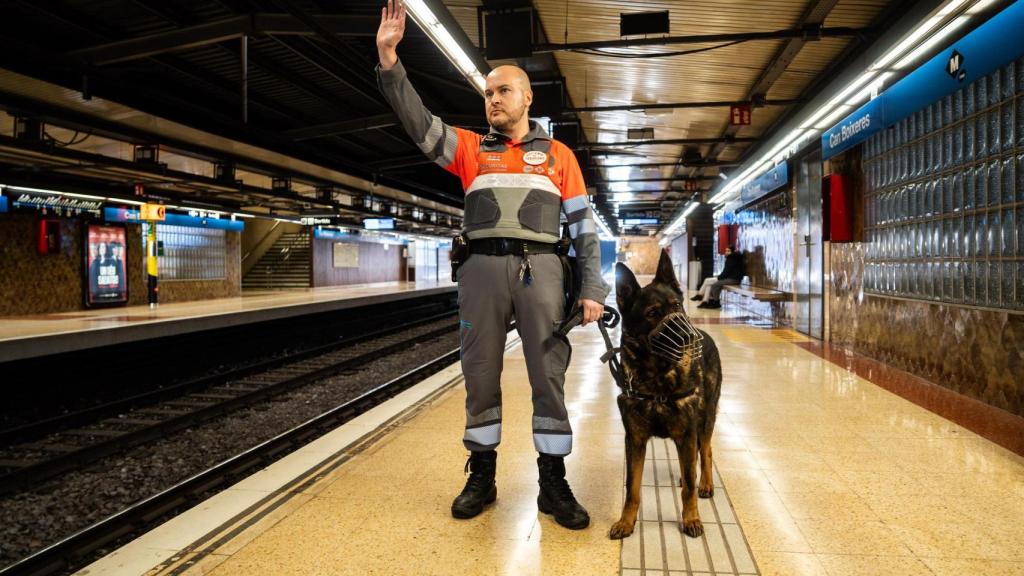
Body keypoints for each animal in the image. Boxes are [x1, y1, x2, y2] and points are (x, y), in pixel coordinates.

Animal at [606, 251, 720, 537]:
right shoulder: (635, 440)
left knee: (706, 450)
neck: (657, 376)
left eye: (677, 305)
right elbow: (632, 488)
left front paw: (691, 518)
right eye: (652, 313)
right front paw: (626, 521)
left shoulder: (687, 432)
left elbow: (689, 487)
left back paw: (706, 484)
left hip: (705, 419)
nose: (688, 337)